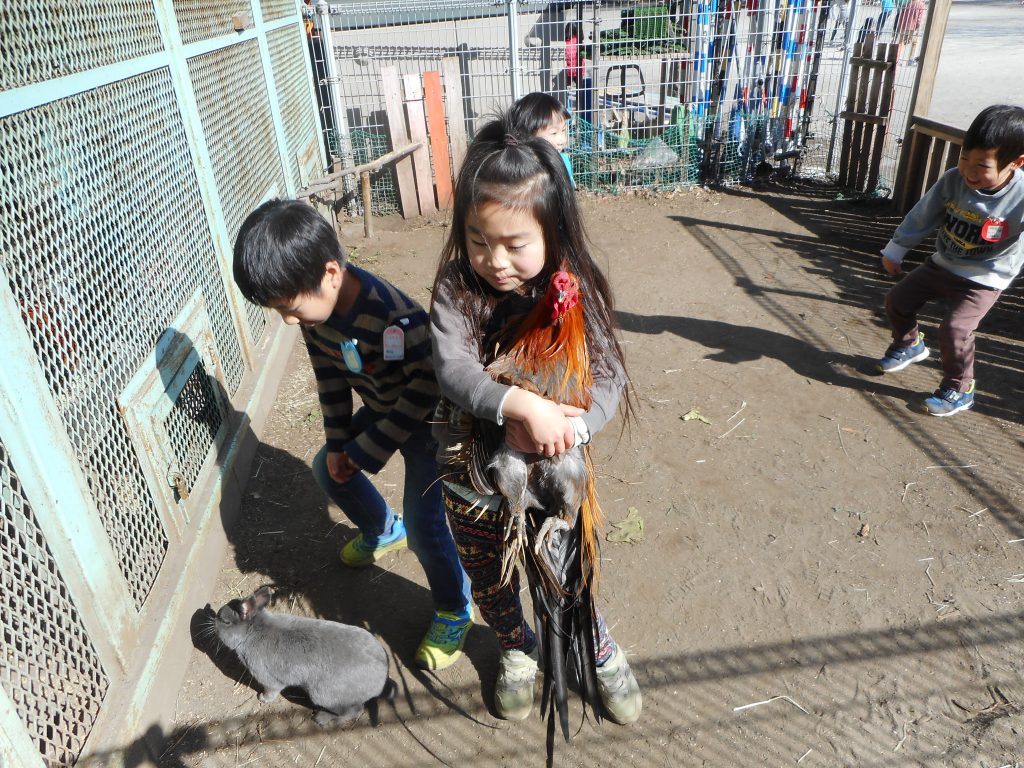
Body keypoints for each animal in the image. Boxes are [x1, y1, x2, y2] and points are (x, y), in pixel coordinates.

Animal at [214, 589, 389, 729]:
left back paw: (322, 718)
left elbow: (271, 691)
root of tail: (381, 678)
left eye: (226, 621)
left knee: (353, 711)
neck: (252, 632)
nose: (214, 620)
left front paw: (262, 698)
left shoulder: (268, 679)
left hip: (324, 695)